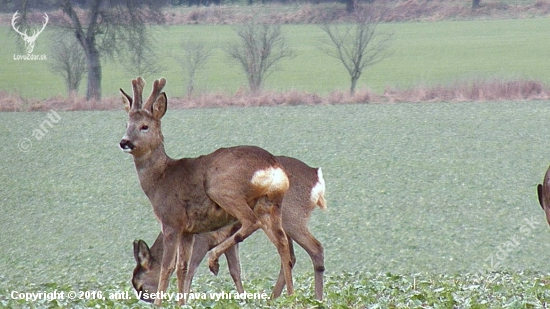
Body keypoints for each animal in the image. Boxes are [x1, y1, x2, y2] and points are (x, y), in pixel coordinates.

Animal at [119, 77, 296, 306]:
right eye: (126, 125)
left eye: (144, 126)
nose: (125, 142)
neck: (160, 180)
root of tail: (273, 166)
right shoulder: (188, 231)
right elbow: (182, 268)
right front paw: (181, 304)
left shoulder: (171, 221)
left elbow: (167, 267)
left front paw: (160, 304)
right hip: (270, 204)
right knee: (282, 243)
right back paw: (291, 296)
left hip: (222, 189)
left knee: (251, 222)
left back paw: (214, 261)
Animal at [132, 154, 328, 300]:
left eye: (140, 286)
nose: (147, 302)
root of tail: (317, 177)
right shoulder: (227, 239)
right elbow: (235, 270)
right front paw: (243, 300)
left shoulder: (202, 239)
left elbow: (190, 270)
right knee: (290, 255)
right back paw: (275, 298)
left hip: (292, 217)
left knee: (315, 248)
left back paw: (316, 298)